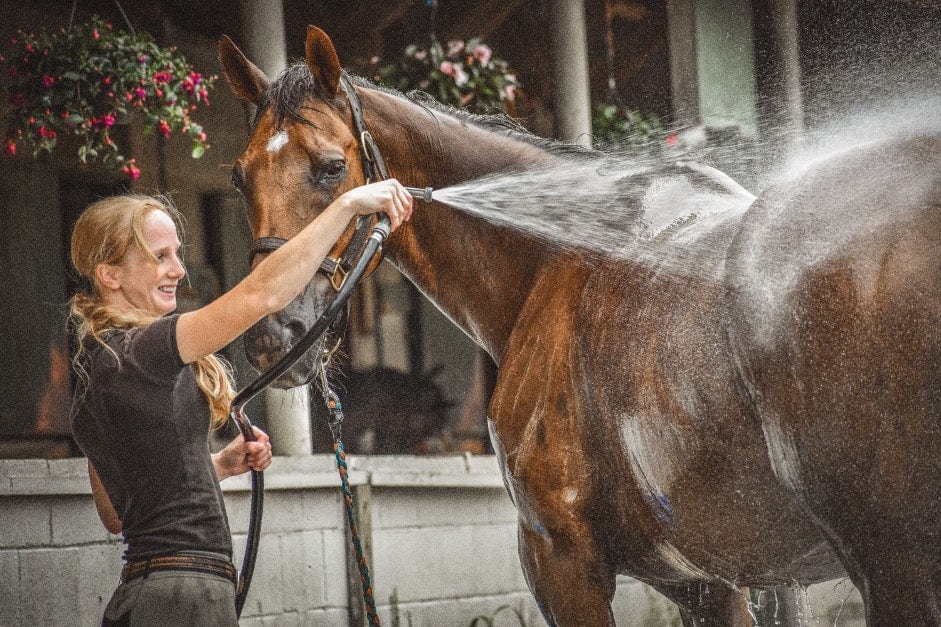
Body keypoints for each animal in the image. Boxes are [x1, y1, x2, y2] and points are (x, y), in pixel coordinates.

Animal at [222, 25, 940, 627]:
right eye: (238, 176)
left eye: (330, 166)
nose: (272, 331)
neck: (552, 261)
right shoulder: (708, 581)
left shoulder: (562, 562)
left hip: (891, 563)